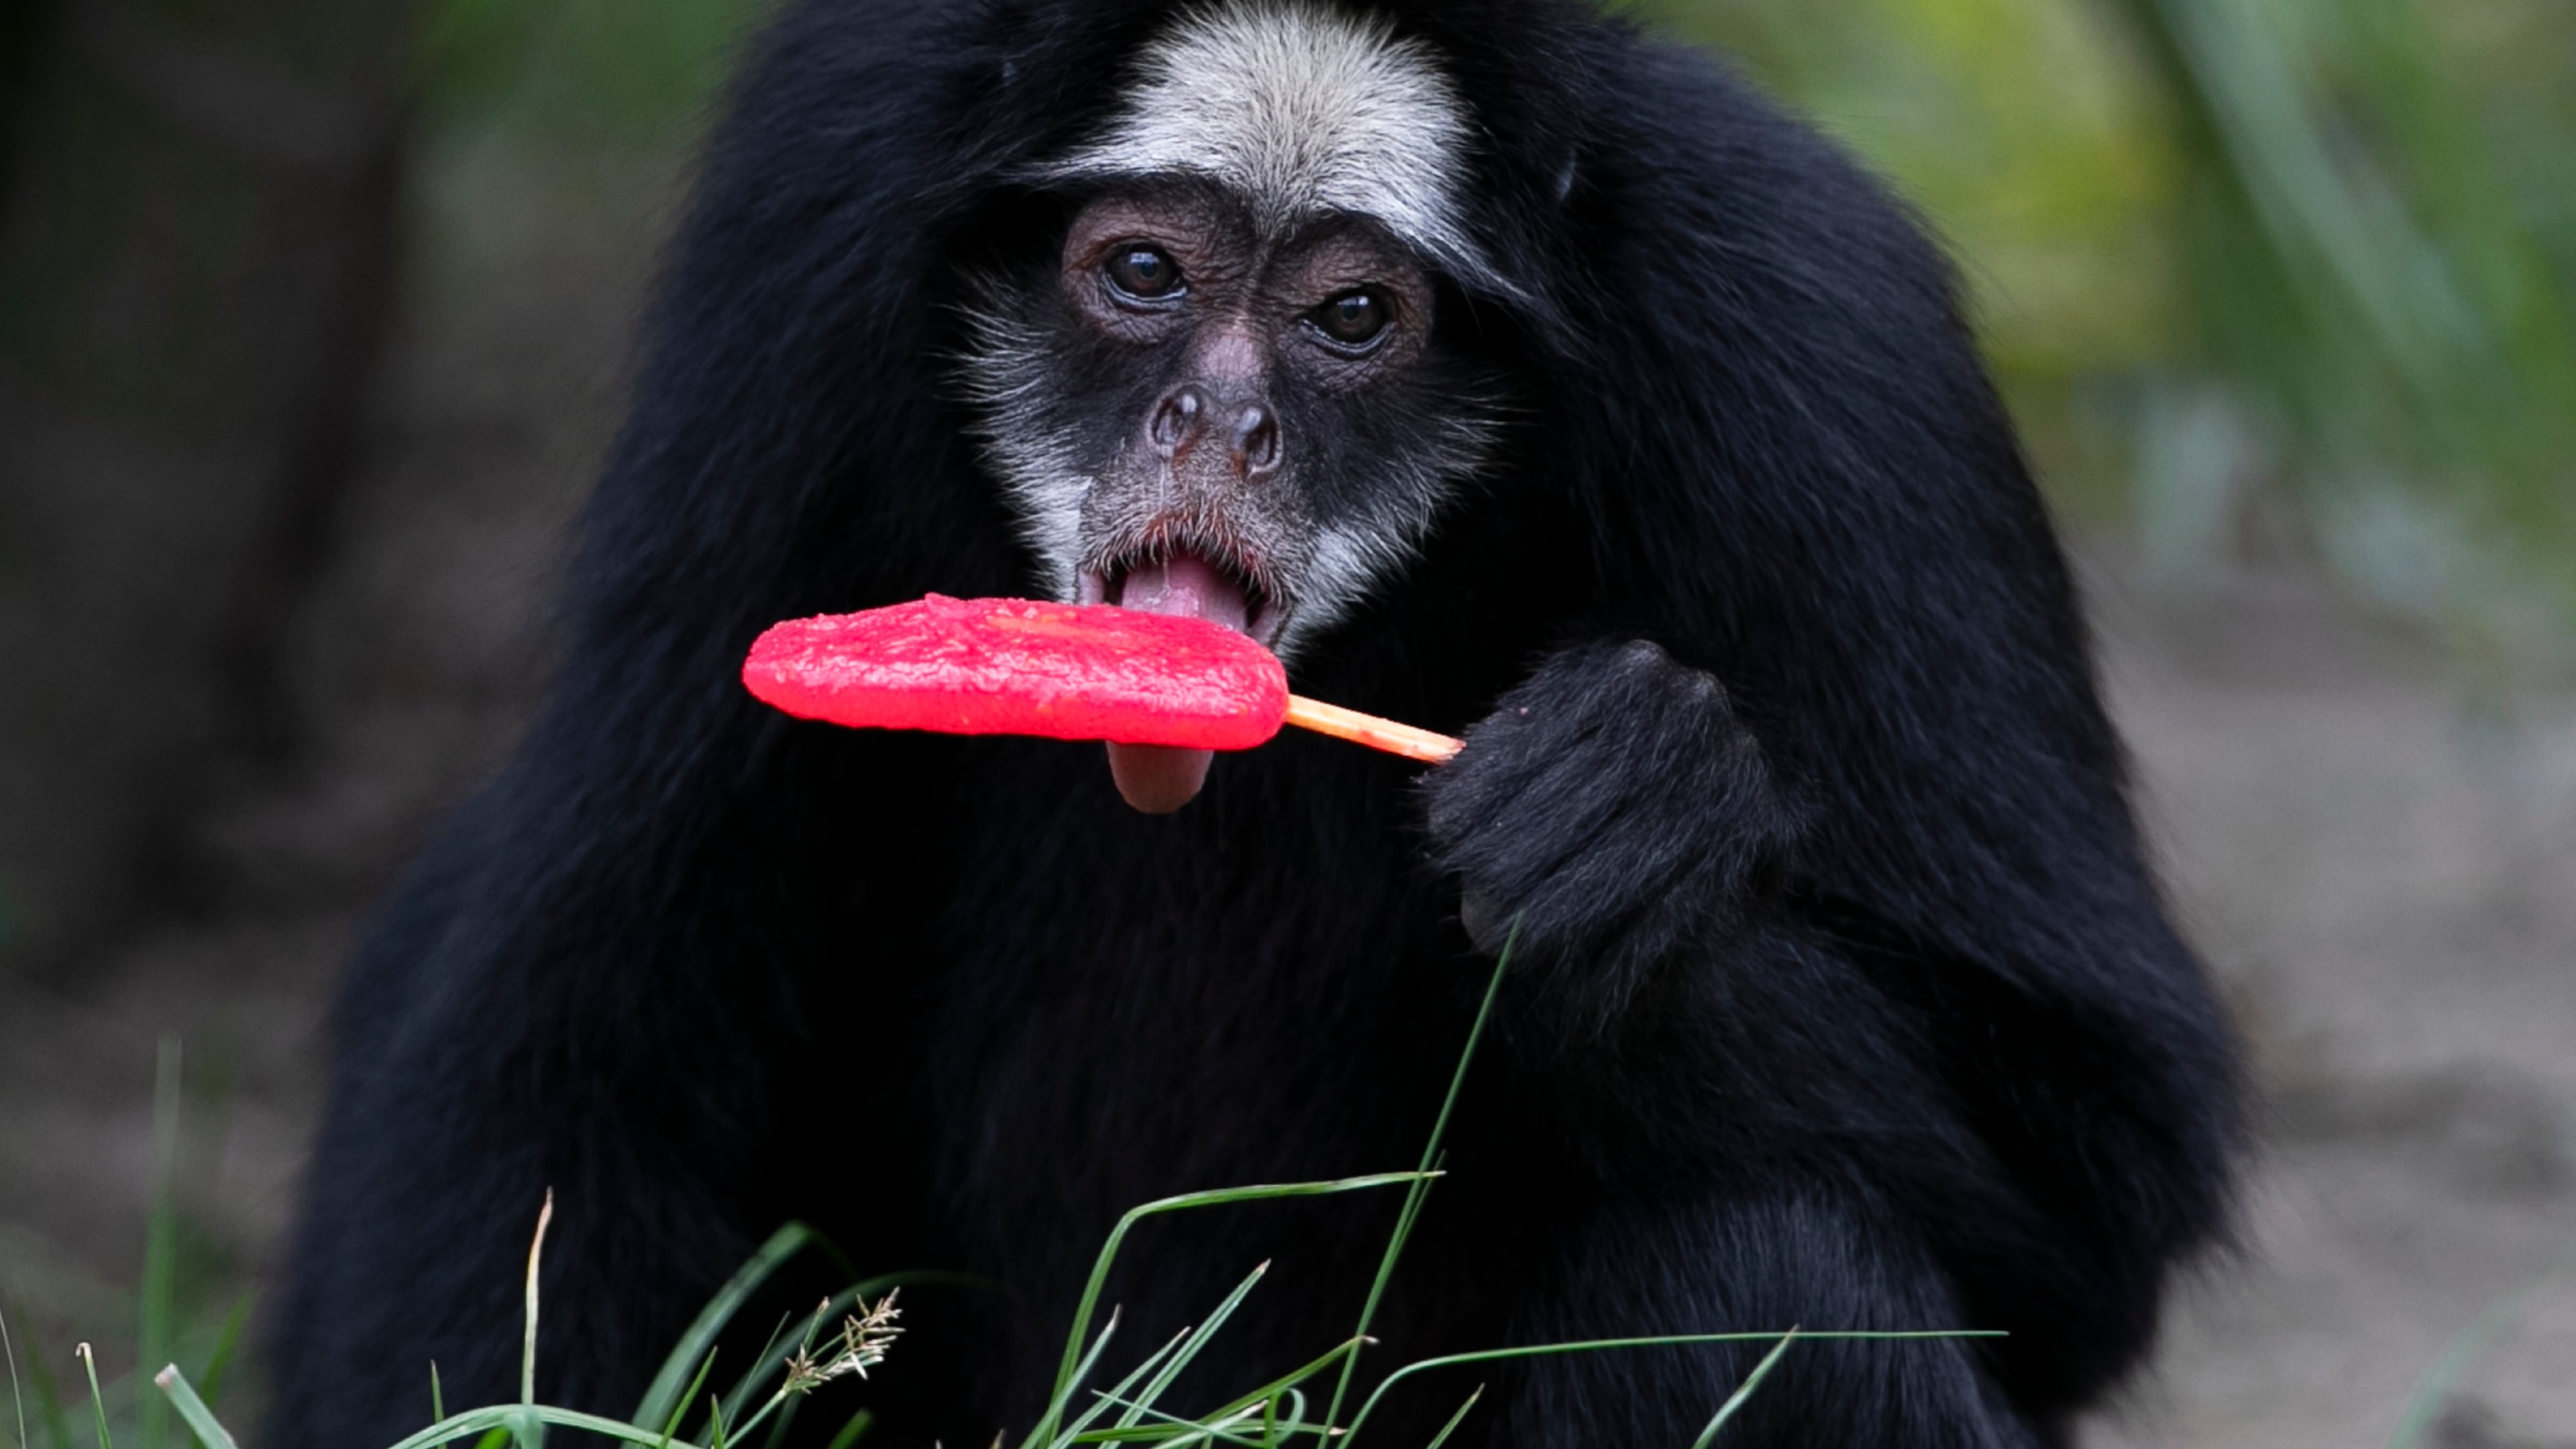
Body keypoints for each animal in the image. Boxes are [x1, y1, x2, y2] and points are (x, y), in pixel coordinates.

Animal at [267, 2, 2240, 1445]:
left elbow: (2102, 1202)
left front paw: (1638, 827)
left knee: (1769, 1282)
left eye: (1352, 315)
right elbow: (574, 1024)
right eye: (1143, 278)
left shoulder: (1812, 332)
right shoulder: (821, 191)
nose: (1221, 423)